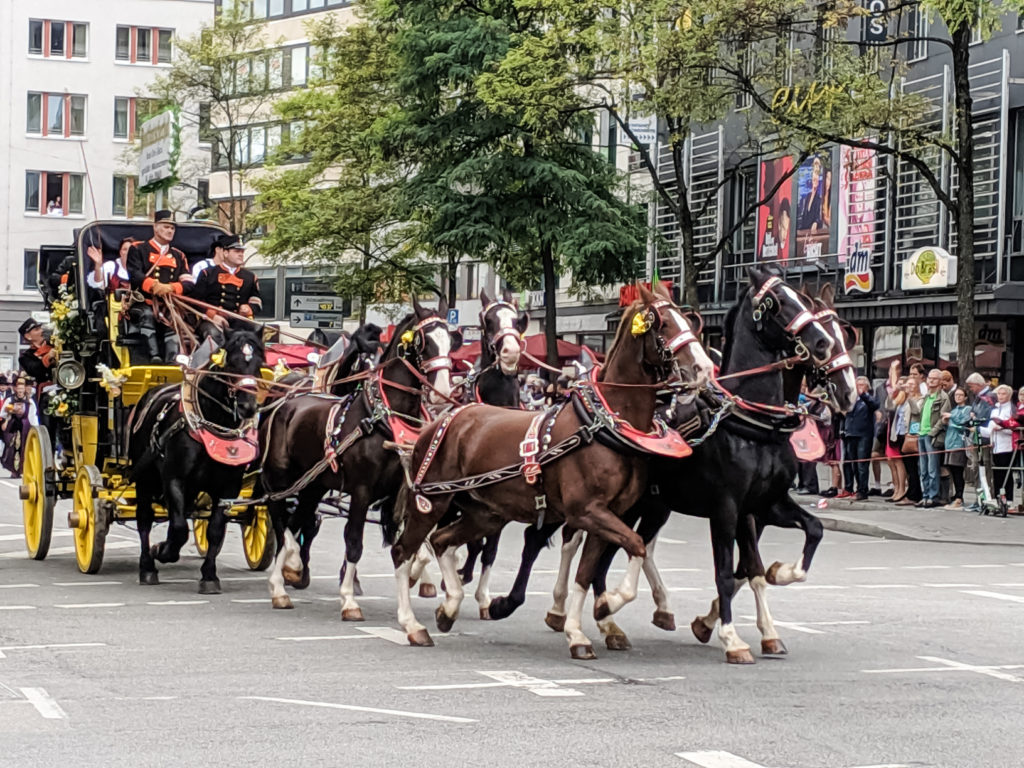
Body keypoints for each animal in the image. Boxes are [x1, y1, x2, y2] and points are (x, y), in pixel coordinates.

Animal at [128, 327, 266, 593]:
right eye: (231, 363)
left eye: (259, 363)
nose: (248, 407)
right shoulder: (174, 479)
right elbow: (179, 528)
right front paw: (163, 551)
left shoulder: (228, 487)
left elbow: (214, 530)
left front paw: (209, 576)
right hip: (145, 479)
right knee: (144, 519)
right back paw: (147, 566)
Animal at [260, 296, 460, 618]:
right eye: (423, 341)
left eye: (450, 341)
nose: (442, 391)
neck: (381, 419)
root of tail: (283, 401)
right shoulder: (362, 490)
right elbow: (354, 542)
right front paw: (349, 600)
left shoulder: (399, 492)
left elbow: (409, 544)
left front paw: (416, 579)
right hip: (280, 478)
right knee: (280, 519)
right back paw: (283, 577)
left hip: (312, 484)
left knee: (298, 520)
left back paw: (287, 575)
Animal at [385, 286, 712, 651]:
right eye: (663, 323)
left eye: (690, 321)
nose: (703, 367)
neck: (603, 425)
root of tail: (439, 421)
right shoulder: (588, 511)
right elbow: (637, 546)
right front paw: (607, 604)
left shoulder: (607, 516)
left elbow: (588, 572)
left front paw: (579, 629)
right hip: (431, 501)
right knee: (403, 551)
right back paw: (412, 623)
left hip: (486, 513)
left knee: (442, 541)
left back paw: (450, 605)